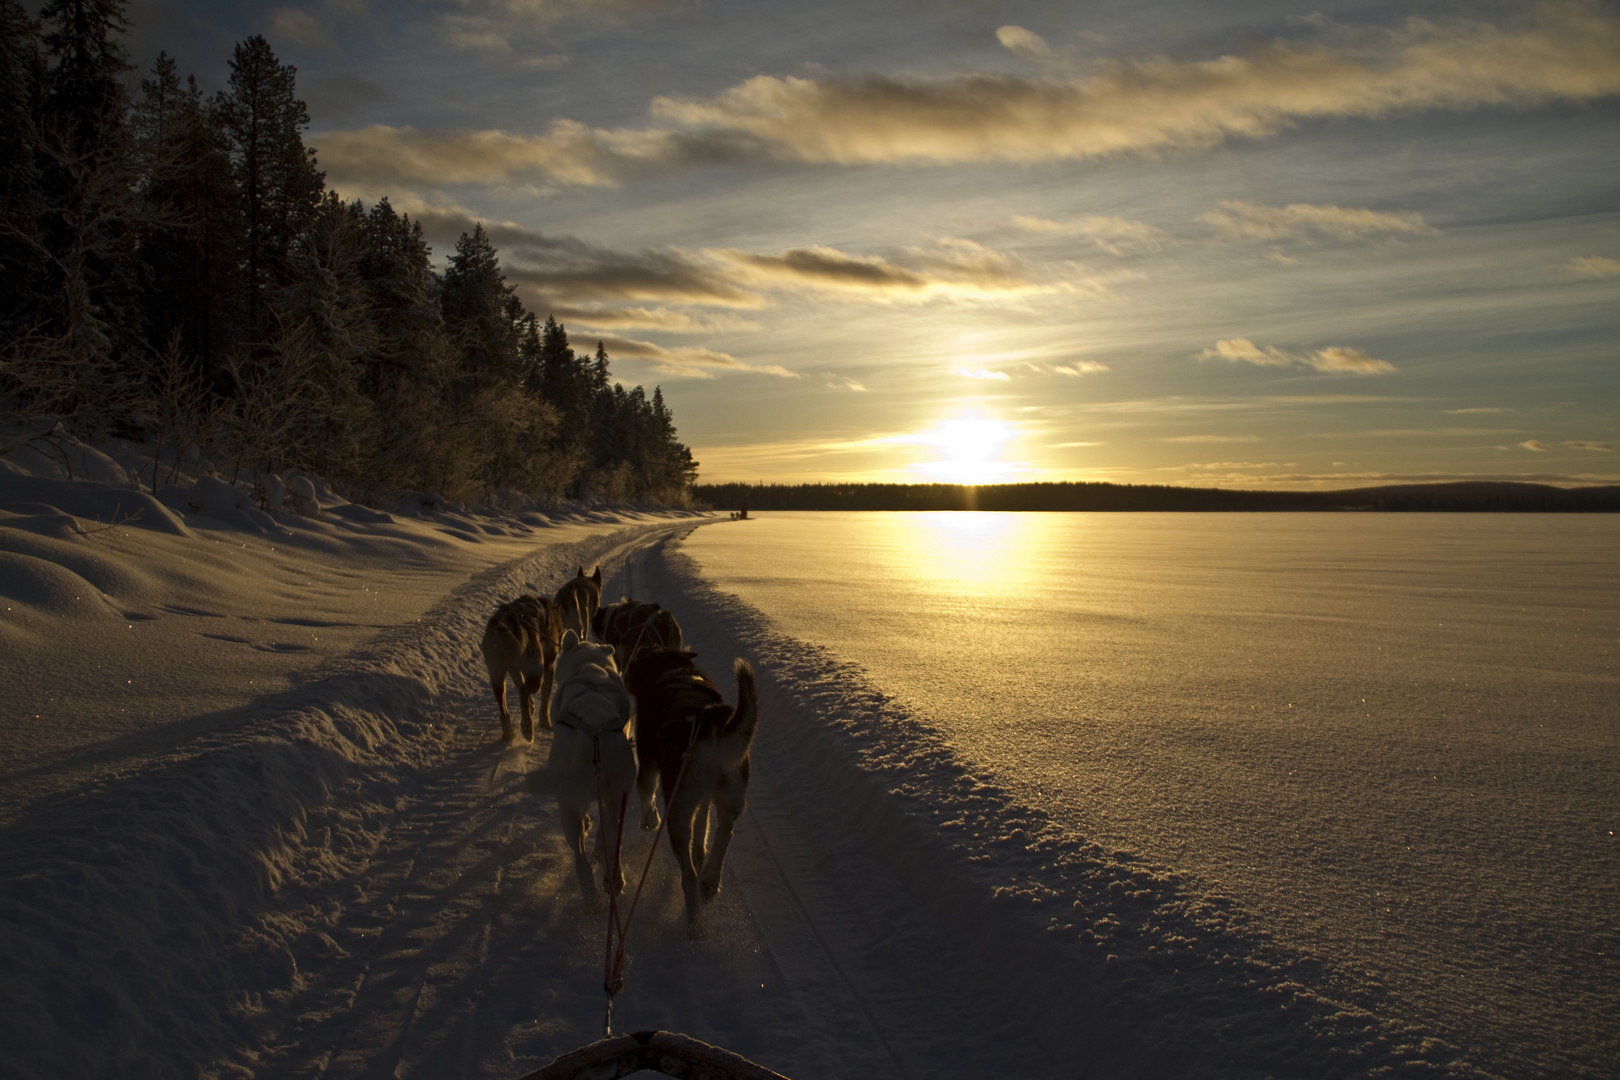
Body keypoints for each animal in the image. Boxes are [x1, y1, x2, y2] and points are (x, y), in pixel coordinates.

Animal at [473, 592, 563, 744]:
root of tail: (503, 627)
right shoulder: (547, 667)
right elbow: (544, 700)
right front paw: (545, 723)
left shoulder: (514, 669)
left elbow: (521, 686)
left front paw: (531, 707)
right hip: (536, 673)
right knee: (525, 691)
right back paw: (527, 728)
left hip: (497, 676)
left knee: (506, 706)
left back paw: (509, 732)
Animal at [544, 628, 631, 906]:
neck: (590, 665)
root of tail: (593, 727)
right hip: (616, 796)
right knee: (611, 836)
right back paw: (611, 878)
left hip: (569, 807)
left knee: (580, 858)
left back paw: (591, 896)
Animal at [625, 650, 764, 939]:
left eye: (634, 663)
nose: (624, 674)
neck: (673, 671)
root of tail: (710, 728)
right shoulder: (703, 799)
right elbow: (703, 825)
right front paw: (703, 854)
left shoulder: (648, 764)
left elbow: (645, 792)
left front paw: (648, 820)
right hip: (730, 796)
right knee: (725, 829)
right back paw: (710, 878)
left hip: (677, 815)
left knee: (688, 874)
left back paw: (694, 924)